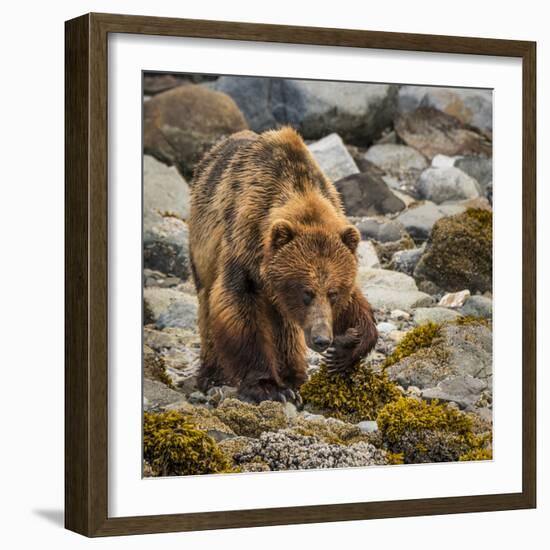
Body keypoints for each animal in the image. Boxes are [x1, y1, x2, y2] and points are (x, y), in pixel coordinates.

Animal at [190, 129, 380, 406]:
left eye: (333, 293)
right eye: (306, 292)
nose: (322, 339)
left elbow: (355, 305)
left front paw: (345, 349)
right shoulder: (242, 250)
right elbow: (238, 310)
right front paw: (268, 386)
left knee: (285, 327)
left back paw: (295, 377)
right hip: (202, 248)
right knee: (207, 303)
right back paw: (212, 376)